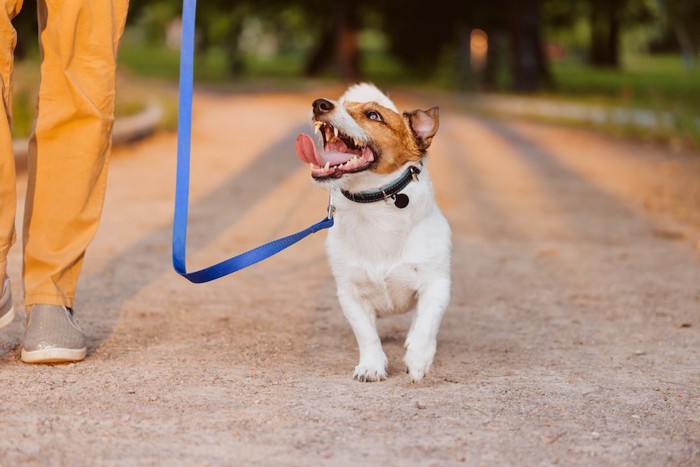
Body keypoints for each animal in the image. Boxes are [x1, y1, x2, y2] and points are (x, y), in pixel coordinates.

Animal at [296, 85, 454, 384]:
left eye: (373, 115)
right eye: (344, 105)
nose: (319, 104)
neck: (374, 205)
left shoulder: (436, 284)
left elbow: (426, 325)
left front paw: (418, 359)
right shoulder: (350, 293)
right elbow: (366, 334)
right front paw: (371, 365)